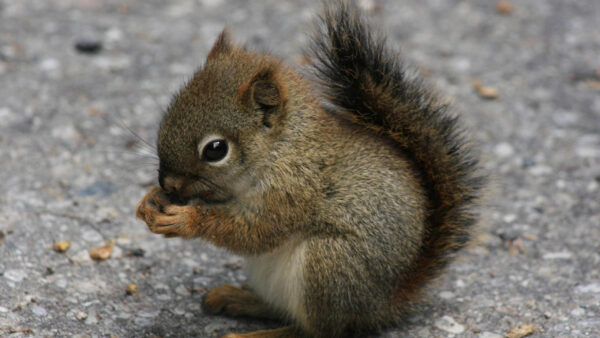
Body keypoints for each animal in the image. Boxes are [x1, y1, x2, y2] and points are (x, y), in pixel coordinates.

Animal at [136, 1, 482, 336]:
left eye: (216, 149)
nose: (168, 184)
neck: (281, 148)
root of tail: (382, 305)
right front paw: (150, 200)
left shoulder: (294, 189)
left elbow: (255, 232)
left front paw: (185, 220)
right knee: (279, 310)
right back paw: (236, 298)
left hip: (329, 265)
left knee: (315, 330)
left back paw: (256, 333)